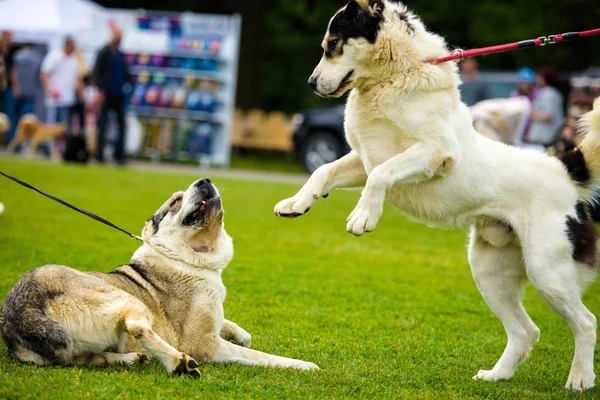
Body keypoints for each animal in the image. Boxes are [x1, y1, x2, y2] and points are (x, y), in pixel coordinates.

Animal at [1, 180, 318, 376]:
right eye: (176, 201)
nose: (204, 180)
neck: (186, 259)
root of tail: (21, 312)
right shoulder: (204, 343)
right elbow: (263, 357)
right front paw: (303, 365)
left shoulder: (213, 321)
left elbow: (236, 329)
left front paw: (241, 335)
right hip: (127, 300)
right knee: (137, 327)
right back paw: (178, 363)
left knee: (91, 359)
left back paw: (130, 359)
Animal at [276, 0, 600, 390]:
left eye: (333, 44)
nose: (311, 83)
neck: (392, 78)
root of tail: (566, 174)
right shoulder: (364, 159)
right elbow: (324, 171)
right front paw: (296, 204)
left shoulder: (435, 153)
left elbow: (381, 176)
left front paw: (363, 217)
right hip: (489, 272)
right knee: (526, 332)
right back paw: (495, 375)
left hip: (547, 271)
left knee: (585, 323)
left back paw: (580, 379)